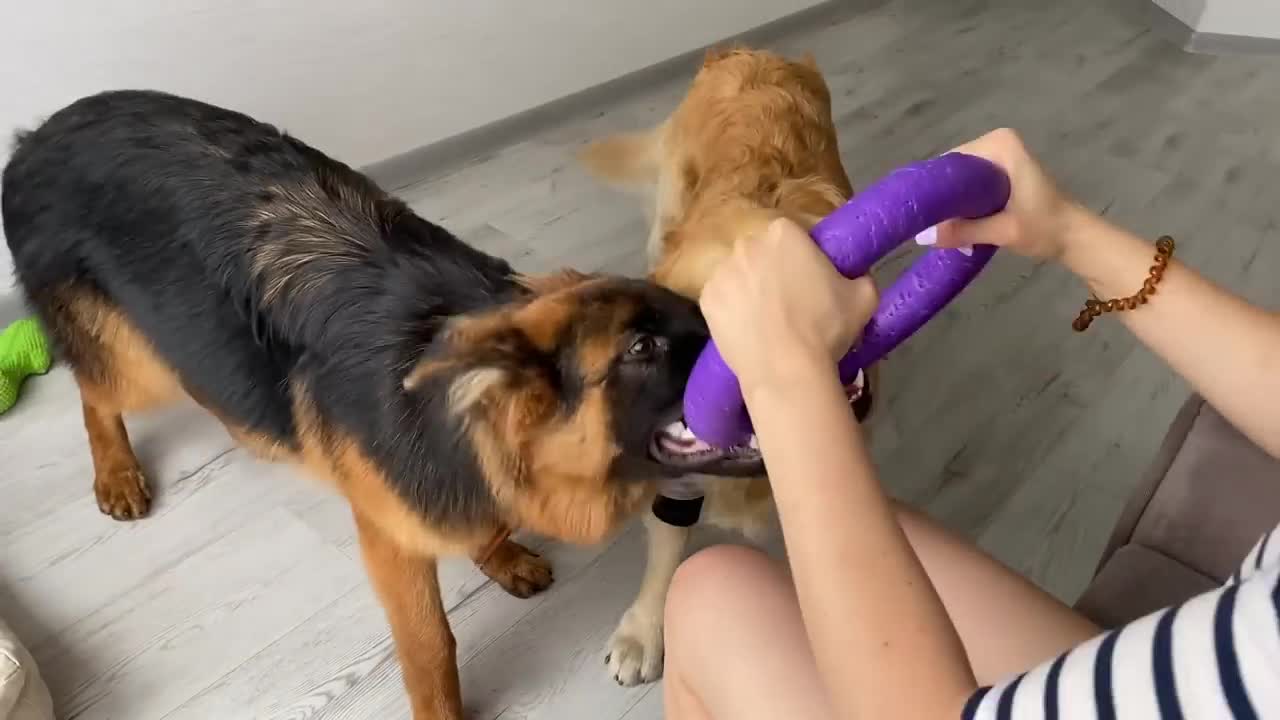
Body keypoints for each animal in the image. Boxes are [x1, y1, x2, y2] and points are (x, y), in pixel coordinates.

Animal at [0, 90, 762, 717]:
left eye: (695, 312)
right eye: (641, 348)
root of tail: (40, 133)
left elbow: (481, 520)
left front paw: (497, 554)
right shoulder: (391, 544)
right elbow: (431, 648)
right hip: (140, 362)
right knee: (95, 394)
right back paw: (116, 471)